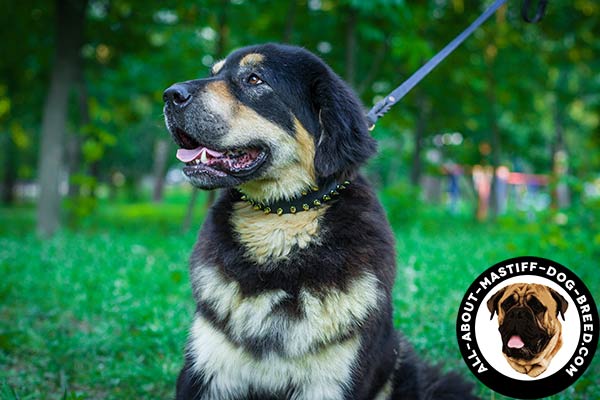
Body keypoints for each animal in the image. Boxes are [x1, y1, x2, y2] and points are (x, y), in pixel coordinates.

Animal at [161, 43, 478, 400]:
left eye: (254, 79)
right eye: (214, 73)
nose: (170, 94)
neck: (282, 222)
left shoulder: (331, 382)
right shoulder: (207, 370)